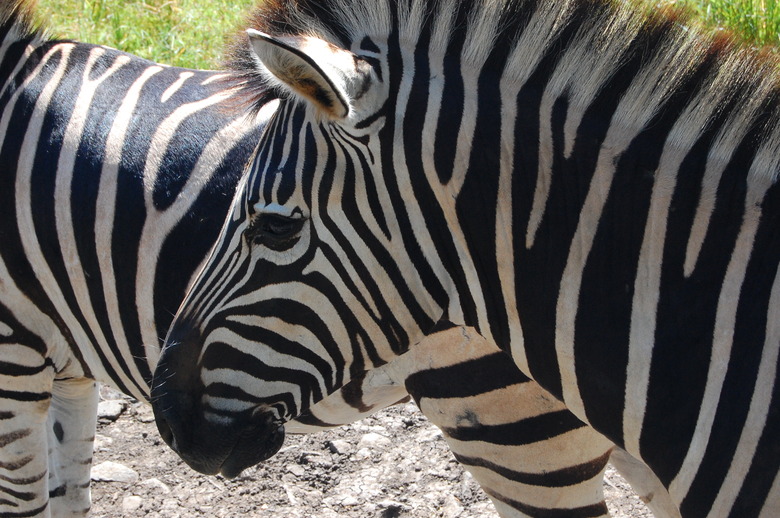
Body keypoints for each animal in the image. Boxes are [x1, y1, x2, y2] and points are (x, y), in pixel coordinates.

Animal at [0, 2, 668, 516]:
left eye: (274, 226)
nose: (168, 419)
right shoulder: (68, 369)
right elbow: (68, 496)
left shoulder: (13, 358)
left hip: (517, 432)